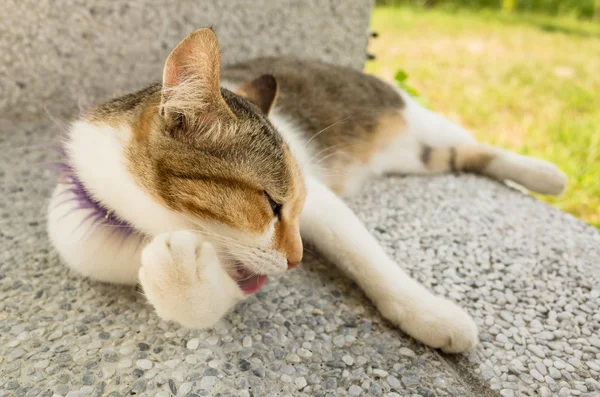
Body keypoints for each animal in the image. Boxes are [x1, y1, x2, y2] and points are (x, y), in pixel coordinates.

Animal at [48, 27, 568, 352]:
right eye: (270, 204)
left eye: (289, 205)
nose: (297, 260)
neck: (146, 225)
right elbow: (206, 302)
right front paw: (180, 277)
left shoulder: (321, 205)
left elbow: (370, 259)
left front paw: (431, 314)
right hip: (424, 156)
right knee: (463, 156)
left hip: (424, 122)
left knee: (476, 144)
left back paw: (545, 173)